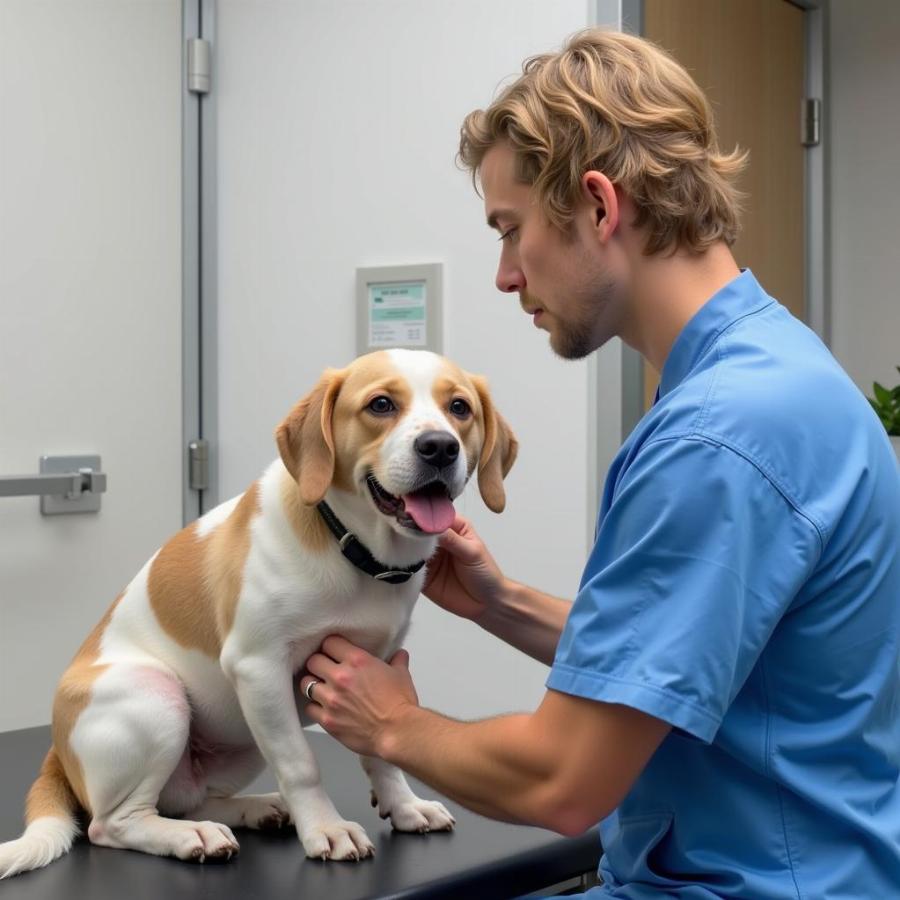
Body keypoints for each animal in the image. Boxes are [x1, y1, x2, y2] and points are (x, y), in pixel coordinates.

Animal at [0, 350, 516, 880]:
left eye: (459, 407)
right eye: (381, 404)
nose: (439, 448)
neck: (355, 551)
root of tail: (57, 750)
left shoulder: (375, 666)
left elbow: (381, 750)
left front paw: (405, 806)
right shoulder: (258, 667)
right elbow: (302, 765)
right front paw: (327, 829)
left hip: (243, 737)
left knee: (188, 800)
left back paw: (255, 809)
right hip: (160, 697)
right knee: (113, 824)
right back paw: (191, 836)